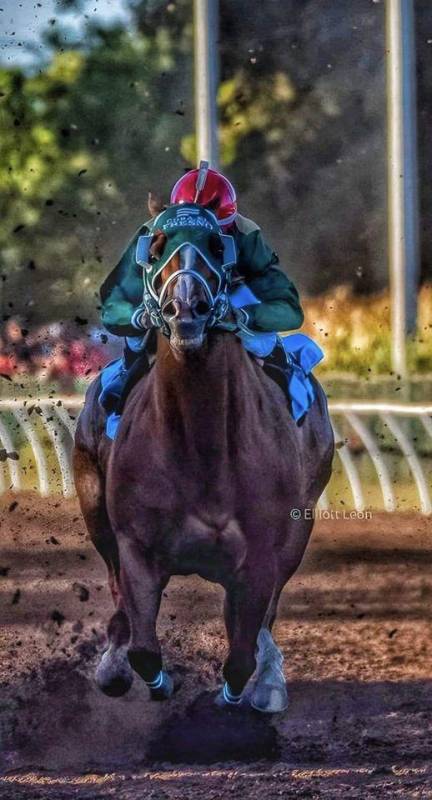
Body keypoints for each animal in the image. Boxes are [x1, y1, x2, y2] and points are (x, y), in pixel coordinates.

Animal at [74, 228, 334, 708]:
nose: (186, 310)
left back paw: (269, 680)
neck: (202, 446)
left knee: (264, 615)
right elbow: (142, 647)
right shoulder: (137, 545)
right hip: (94, 505)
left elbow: (243, 652)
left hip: (299, 527)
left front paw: (238, 692)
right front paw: (146, 677)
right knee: (116, 586)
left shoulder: (261, 553)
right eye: (156, 251)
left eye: (217, 247)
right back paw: (113, 663)